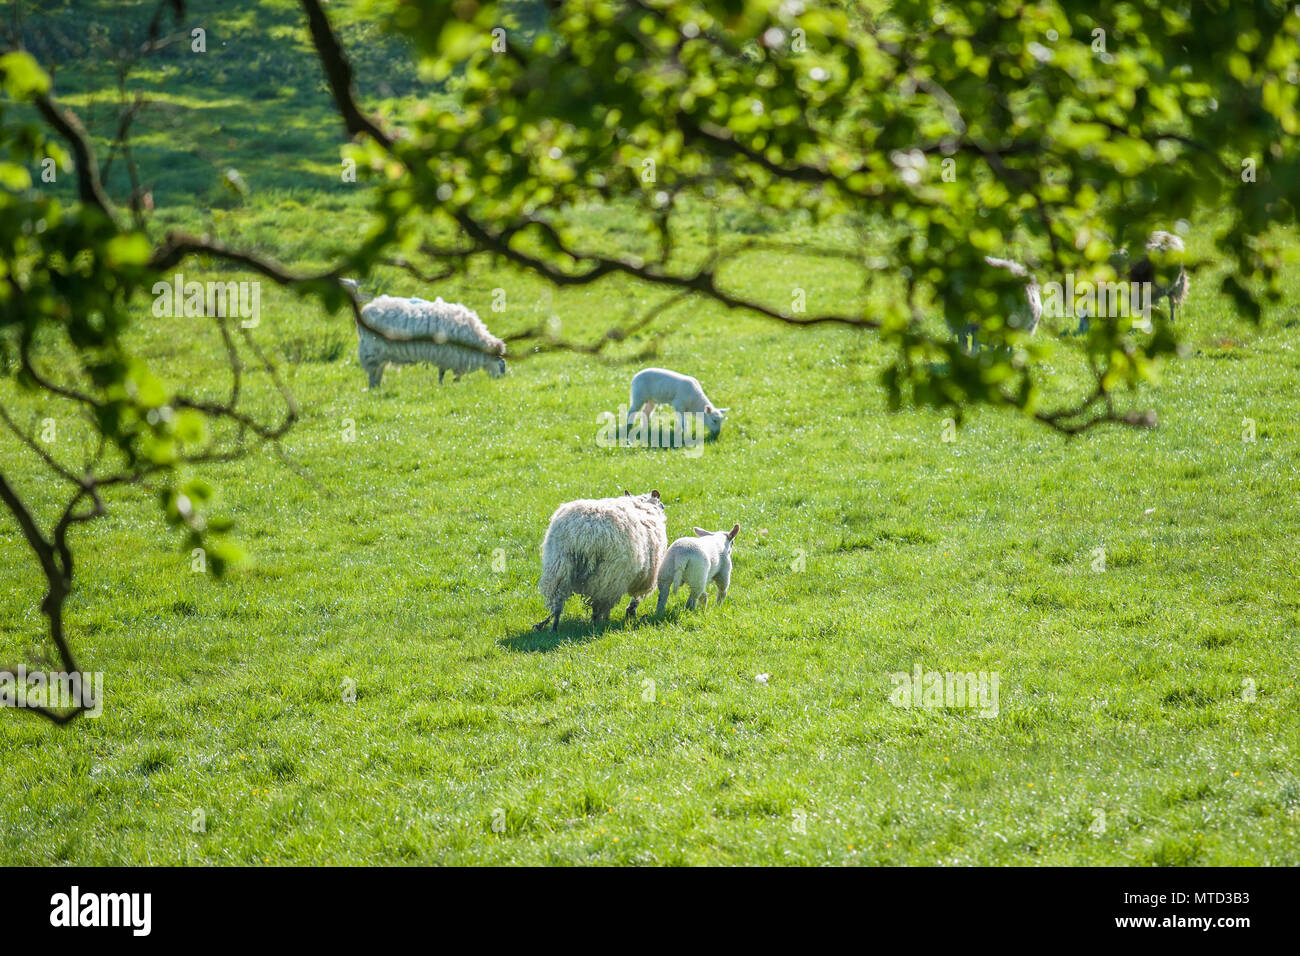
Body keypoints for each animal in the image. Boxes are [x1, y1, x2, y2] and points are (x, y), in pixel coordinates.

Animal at [342, 281, 507, 388]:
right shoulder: (448, 354)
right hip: (372, 350)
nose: (501, 382)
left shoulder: (450, 356)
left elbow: (446, 372)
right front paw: (443, 385)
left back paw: (377, 388)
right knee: (373, 372)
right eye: (501, 366)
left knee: (378, 371)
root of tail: (367, 309)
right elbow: (442, 372)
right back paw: (373, 388)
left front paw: (452, 382)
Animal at [534, 490, 668, 632]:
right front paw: (631, 611)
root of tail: (581, 533)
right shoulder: (647, 575)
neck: (643, 505)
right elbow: (636, 597)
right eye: (662, 505)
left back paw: (554, 627)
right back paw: (599, 623)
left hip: (559, 567)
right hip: (607, 576)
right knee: (600, 604)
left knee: (558, 602)